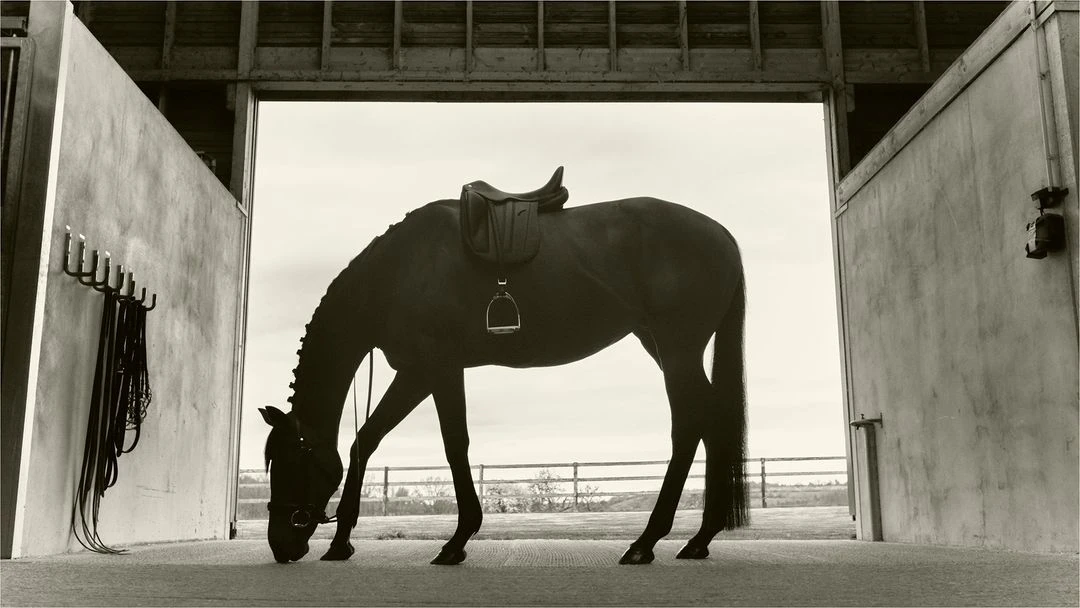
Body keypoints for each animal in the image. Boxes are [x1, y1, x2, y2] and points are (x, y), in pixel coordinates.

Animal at [259, 175, 748, 566]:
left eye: (291, 462)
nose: (281, 544)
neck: (396, 274)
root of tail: (722, 233)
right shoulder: (415, 373)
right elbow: (366, 441)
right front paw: (340, 542)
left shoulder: (437, 368)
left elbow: (454, 445)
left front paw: (457, 541)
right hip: (663, 346)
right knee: (710, 421)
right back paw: (699, 539)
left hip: (677, 349)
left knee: (689, 424)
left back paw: (646, 542)